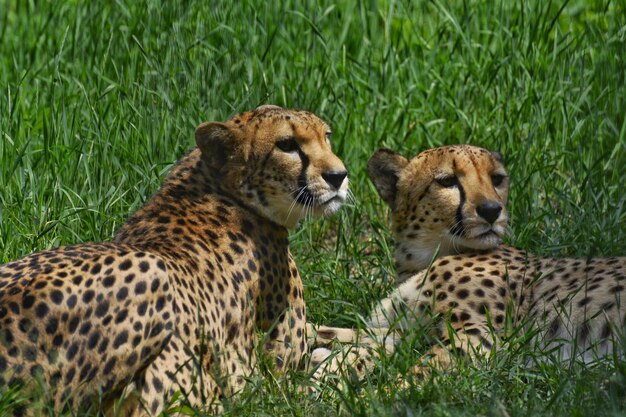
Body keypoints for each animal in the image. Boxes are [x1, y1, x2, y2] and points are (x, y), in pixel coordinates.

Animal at [0, 105, 348, 412]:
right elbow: (331, 368)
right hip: (151, 269)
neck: (219, 184)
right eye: (286, 145)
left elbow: (337, 332)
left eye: (327, 136)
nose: (339, 176)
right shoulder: (279, 375)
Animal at [310, 145, 620, 376]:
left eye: (497, 179)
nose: (492, 210)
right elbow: (343, 331)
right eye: (447, 181)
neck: (423, 258)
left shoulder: (479, 337)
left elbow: (416, 373)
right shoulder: (409, 330)